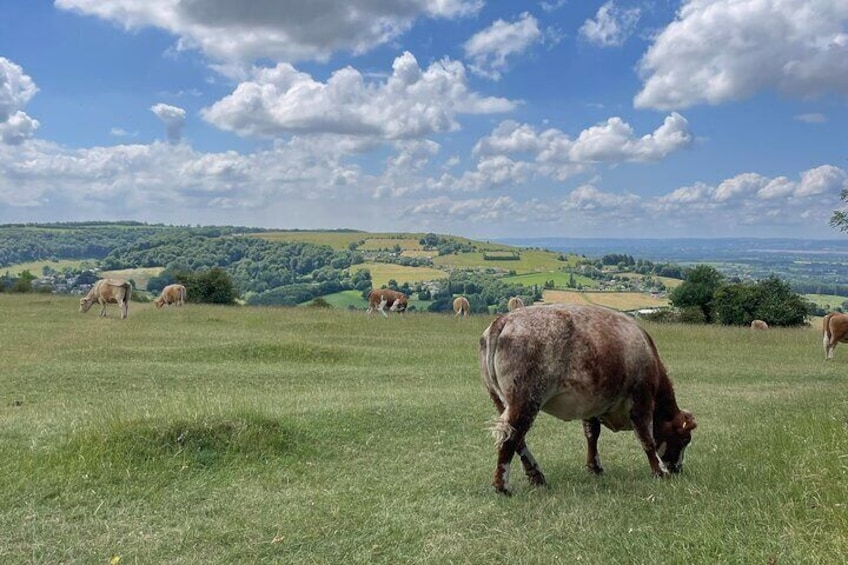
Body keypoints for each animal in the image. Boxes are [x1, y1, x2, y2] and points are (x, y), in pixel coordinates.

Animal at [480, 304, 700, 494]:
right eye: (685, 439)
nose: (678, 469)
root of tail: (504, 319)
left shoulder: (592, 403)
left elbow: (592, 434)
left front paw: (595, 467)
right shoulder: (641, 399)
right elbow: (647, 439)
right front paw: (659, 472)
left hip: (501, 400)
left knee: (517, 439)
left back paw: (536, 476)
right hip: (525, 400)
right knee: (510, 438)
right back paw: (502, 486)